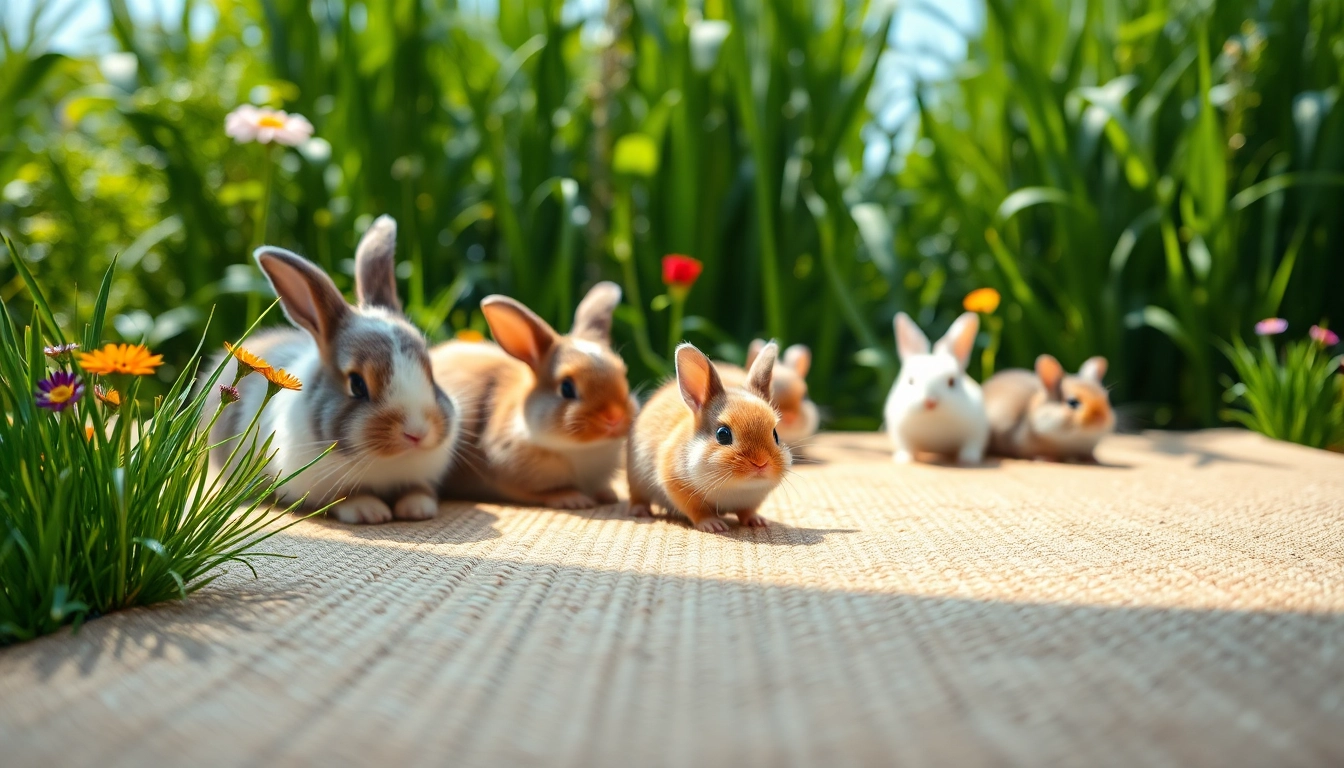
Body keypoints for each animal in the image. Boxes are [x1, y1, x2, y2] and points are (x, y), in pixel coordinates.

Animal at [204, 215, 461, 524]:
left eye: (431, 373)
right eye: (357, 385)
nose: (417, 433)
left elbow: (417, 489)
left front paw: (418, 508)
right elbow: (343, 499)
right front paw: (370, 511)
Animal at [431, 282, 637, 509]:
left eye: (624, 375)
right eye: (566, 388)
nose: (615, 417)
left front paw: (608, 495)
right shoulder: (505, 476)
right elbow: (540, 493)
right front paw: (573, 499)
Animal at [627, 342, 792, 532]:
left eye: (775, 434)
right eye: (723, 434)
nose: (761, 463)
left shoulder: (750, 501)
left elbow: (747, 511)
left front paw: (757, 521)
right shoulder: (677, 486)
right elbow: (698, 510)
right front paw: (713, 524)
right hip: (636, 480)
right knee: (638, 498)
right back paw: (640, 511)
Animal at [884, 311, 989, 464]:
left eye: (952, 382)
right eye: (910, 381)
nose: (930, 402)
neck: (932, 422)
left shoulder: (977, 430)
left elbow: (972, 445)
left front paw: (968, 459)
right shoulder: (900, 432)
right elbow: (905, 446)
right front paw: (903, 459)